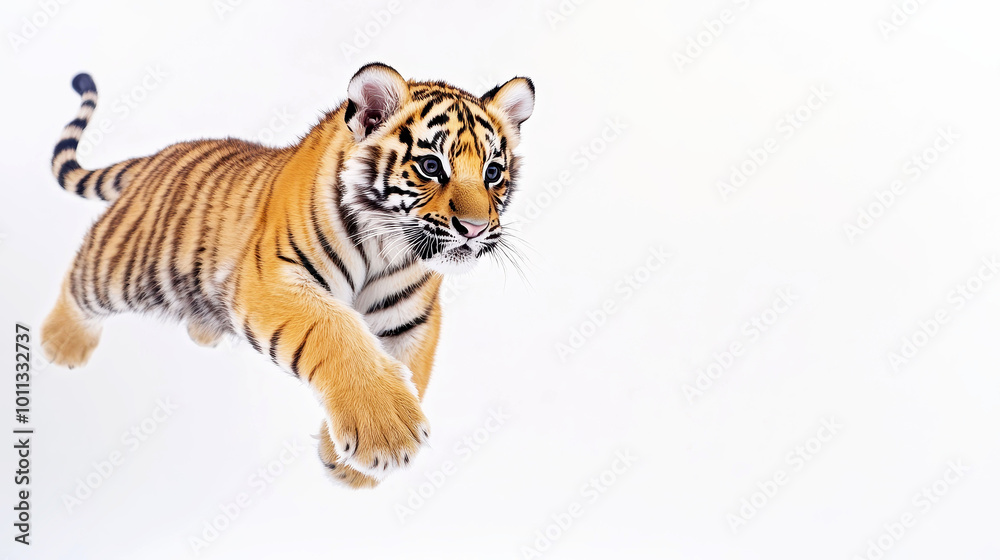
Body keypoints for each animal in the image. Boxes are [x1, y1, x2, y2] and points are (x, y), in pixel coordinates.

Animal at [40, 63, 534, 488]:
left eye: (493, 173)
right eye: (432, 166)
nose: (475, 228)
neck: (386, 249)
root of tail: (157, 155)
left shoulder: (412, 319)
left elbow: (413, 366)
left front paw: (349, 467)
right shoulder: (273, 280)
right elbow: (335, 329)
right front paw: (386, 432)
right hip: (126, 268)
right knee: (80, 276)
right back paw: (62, 344)